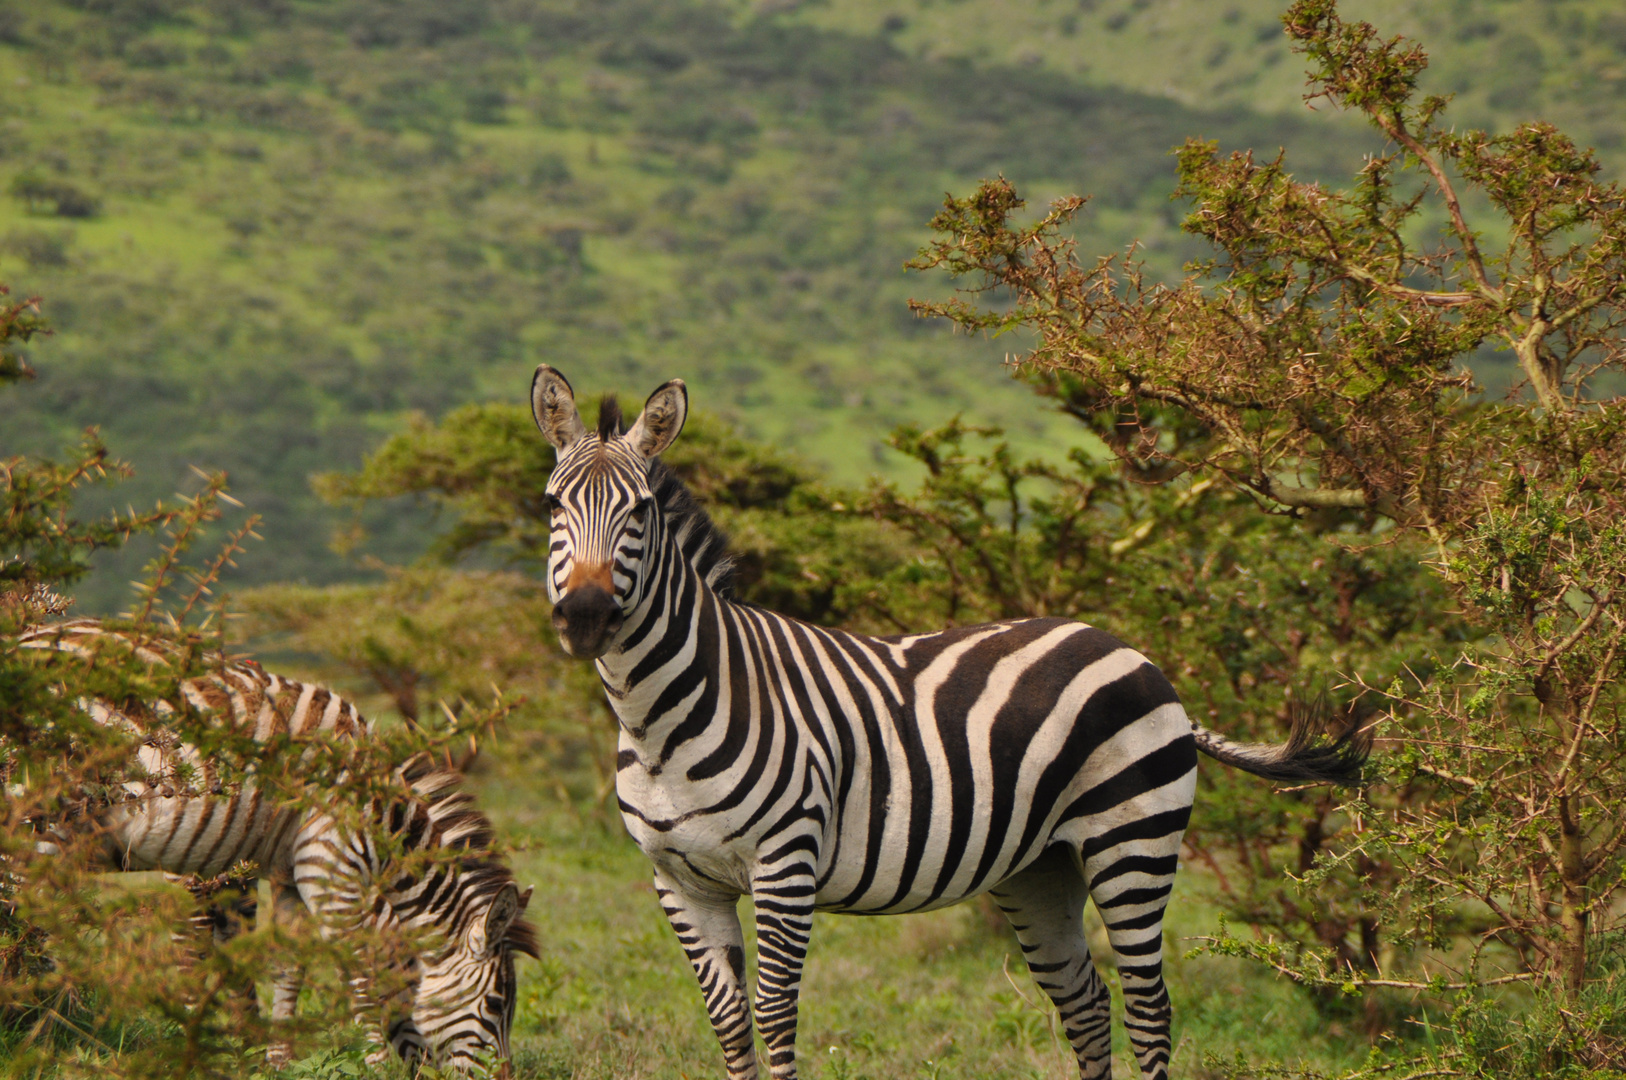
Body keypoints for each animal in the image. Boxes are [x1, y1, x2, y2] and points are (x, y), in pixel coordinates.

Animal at [15, 621, 539, 1073]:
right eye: (496, 1005)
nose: (504, 1078)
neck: (381, 816)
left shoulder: (287, 873)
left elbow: (287, 965)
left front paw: (272, 1060)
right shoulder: (327, 862)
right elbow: (358, 975)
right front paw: (374, 1067)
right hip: (47, 809)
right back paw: (28, 1016)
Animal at [526, 369, 1365, 1080]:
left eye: (640, 512)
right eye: (551, 507)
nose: (588, 617)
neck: (660, 722)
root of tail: (1133, 652)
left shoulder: (785, 865)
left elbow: (774, 1017)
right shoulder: (678, 881)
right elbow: (731, 1026)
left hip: (1133, 843)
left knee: (1150, 1009)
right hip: (1041, 867)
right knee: (1089, 1005)